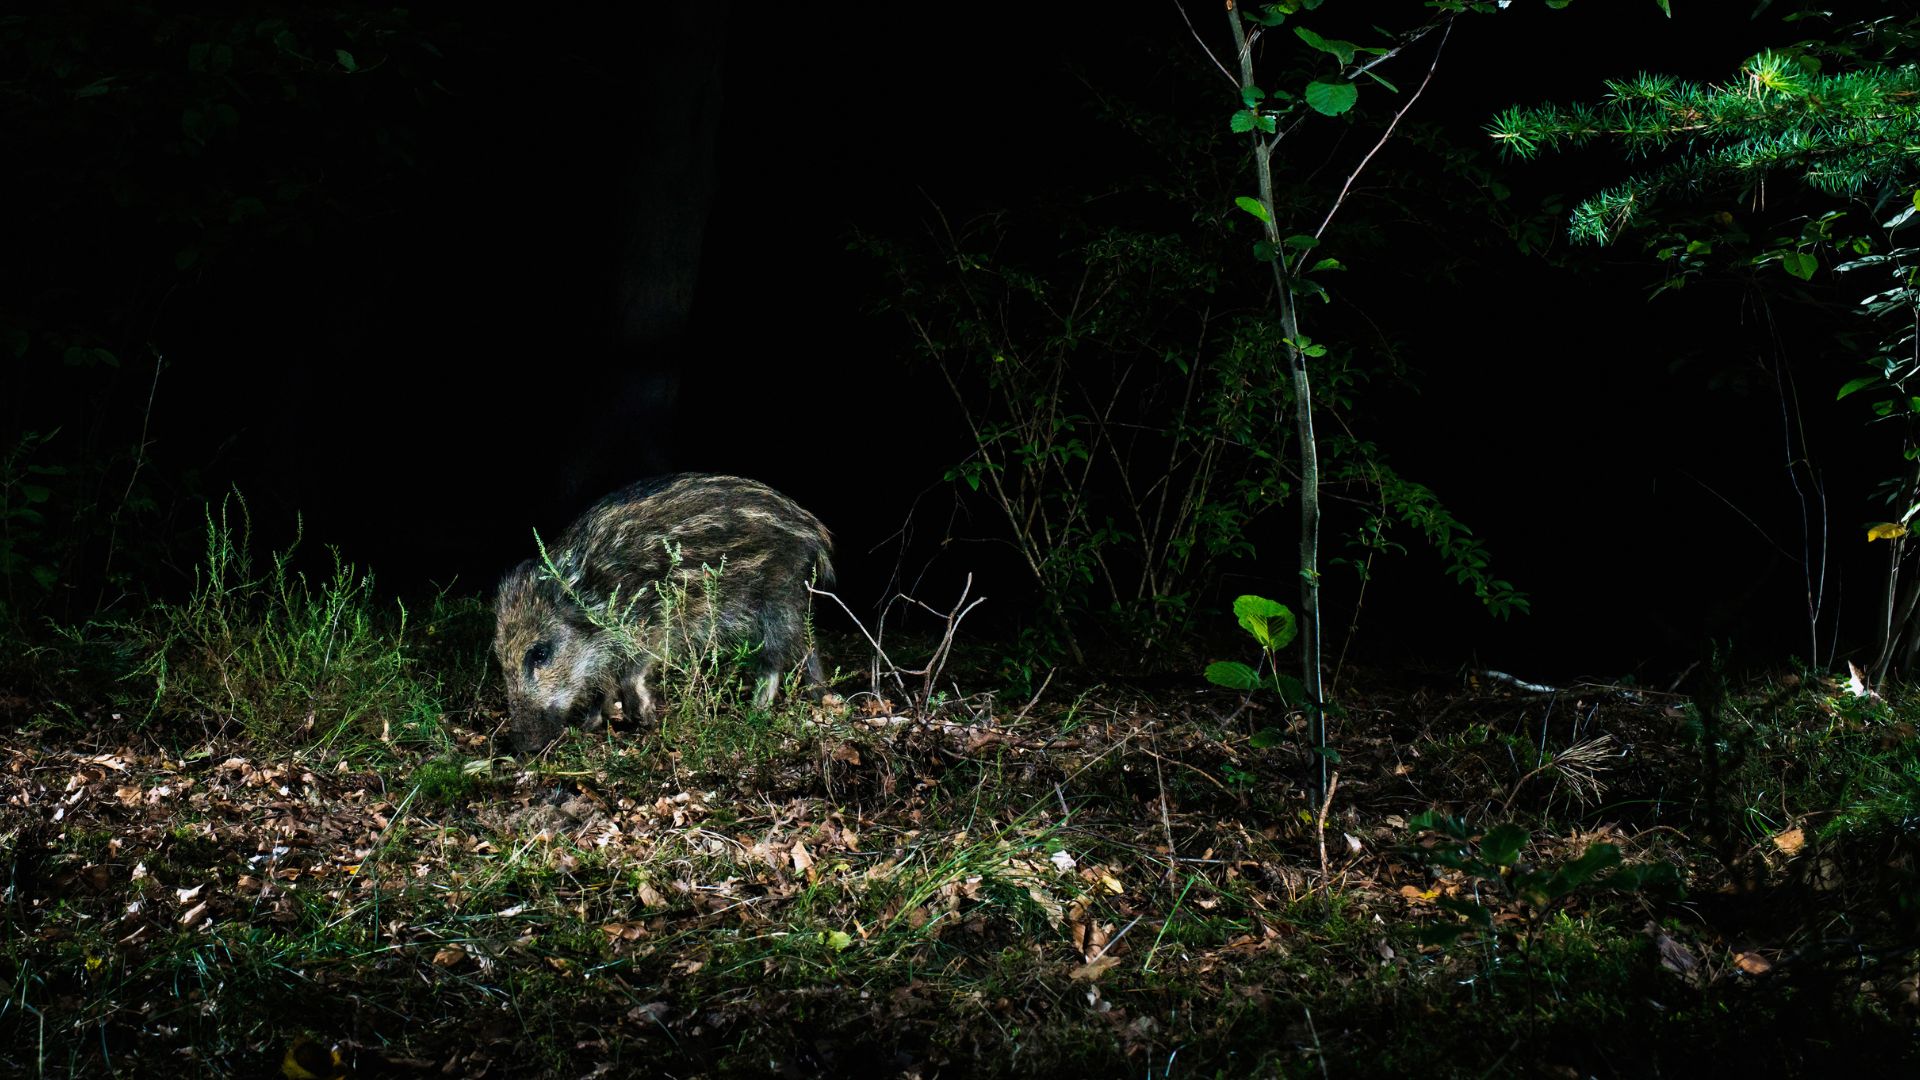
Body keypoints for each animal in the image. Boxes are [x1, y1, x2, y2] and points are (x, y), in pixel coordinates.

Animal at [494, 474, 832, 752]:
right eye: (500, 658)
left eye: (540, 653)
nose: (523, 747)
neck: (595, 594)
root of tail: (812, 528)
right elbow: (604, 680)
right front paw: (592, 723)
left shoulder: (651, 625)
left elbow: (630, 672)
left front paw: (644, 719)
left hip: (778, 600)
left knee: (783, 654)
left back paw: (763, 709)